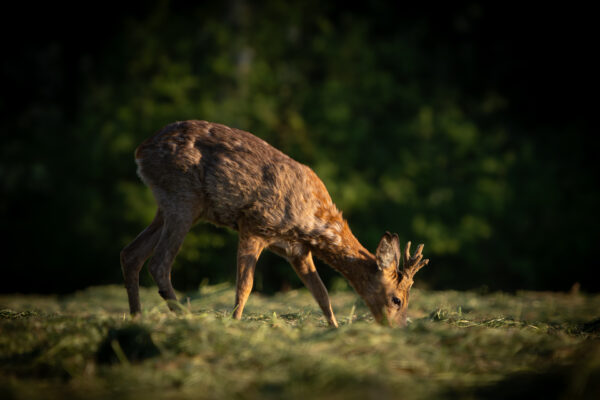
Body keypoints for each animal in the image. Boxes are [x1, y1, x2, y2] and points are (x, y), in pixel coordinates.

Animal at [119, 120, 428, 326]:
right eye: (397, 299)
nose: (399, 328)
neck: (313, 222)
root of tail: (140, 150)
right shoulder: (254, 225)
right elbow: (245, 286)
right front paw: (235, 324)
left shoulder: (297, 251)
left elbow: (322, 294)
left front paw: (334, 329)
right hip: (183, 199)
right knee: (159, 263)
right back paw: (186, 319)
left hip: (170, 205)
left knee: (131, 253)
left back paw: (136, 320)